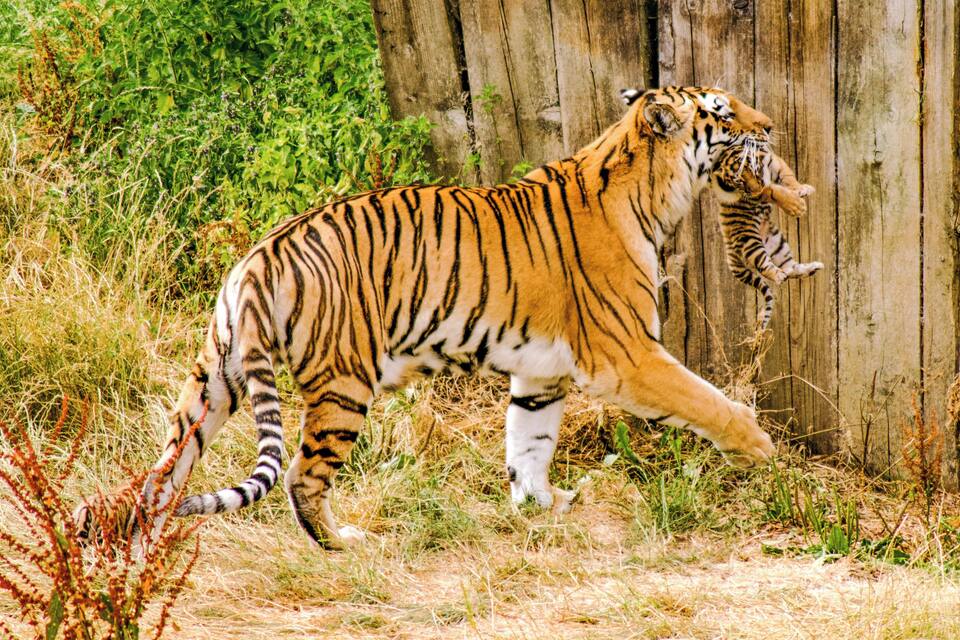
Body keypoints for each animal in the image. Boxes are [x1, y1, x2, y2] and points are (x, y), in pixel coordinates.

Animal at [76, 86, 779, 550]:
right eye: (722, 112)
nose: (771, 125)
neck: (653, 189)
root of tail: (259, 257)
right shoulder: (629, 355)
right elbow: (707, 399)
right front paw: (761, 448)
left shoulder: (540, 374)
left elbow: (529, 444)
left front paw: (541, 507)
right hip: (343, 385)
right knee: (303, 476)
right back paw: (343, 545)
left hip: (214, 381)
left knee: (165, 470)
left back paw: (128, 538)